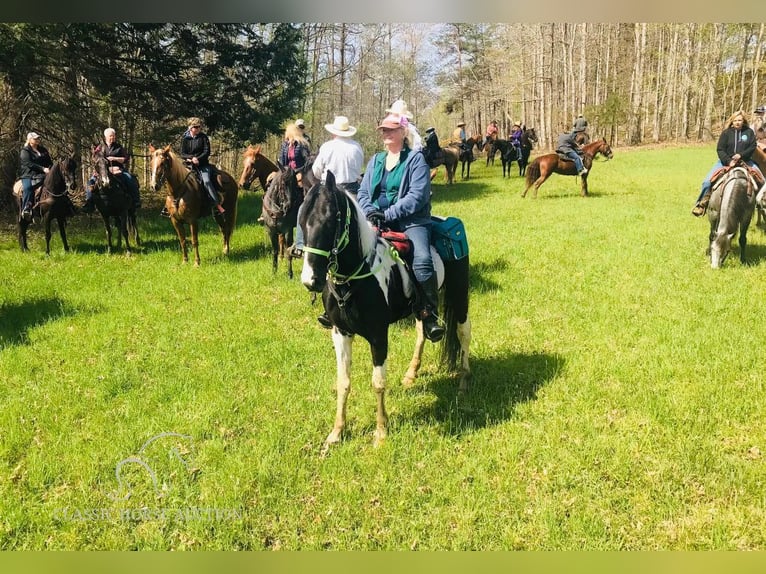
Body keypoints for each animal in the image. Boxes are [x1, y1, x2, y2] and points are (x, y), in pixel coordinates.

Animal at [296, 171, 472, 454]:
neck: (356, 277)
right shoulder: (340, 333)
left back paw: (464, 382)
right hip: (421, 309)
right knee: (423, 331)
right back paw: (411, 374)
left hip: (459, 292)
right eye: (301, 220)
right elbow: (343, 382)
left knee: (463, 332)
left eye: (330, 219)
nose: (311, 280)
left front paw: (381, 433)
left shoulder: (379, 336)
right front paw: (336, 433)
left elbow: (378, 383)